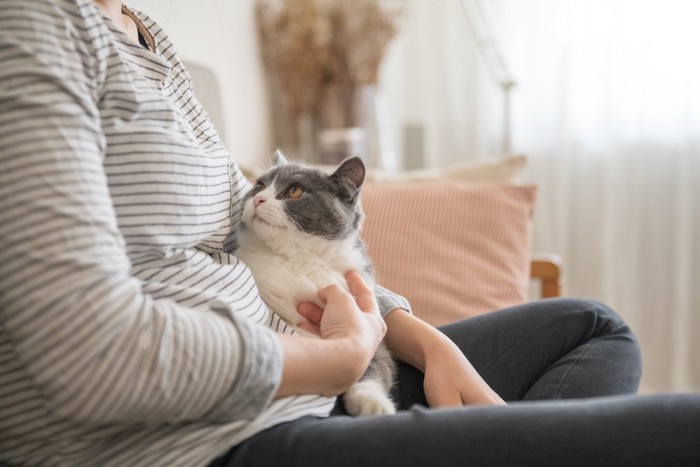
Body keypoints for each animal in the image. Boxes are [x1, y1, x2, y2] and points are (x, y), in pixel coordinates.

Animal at [232, 152, 396, 418]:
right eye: (259, 185)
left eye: (295, 190)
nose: (257, 199)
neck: (302, 259)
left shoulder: (370, 325)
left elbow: (377, 363)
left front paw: (372, 402)